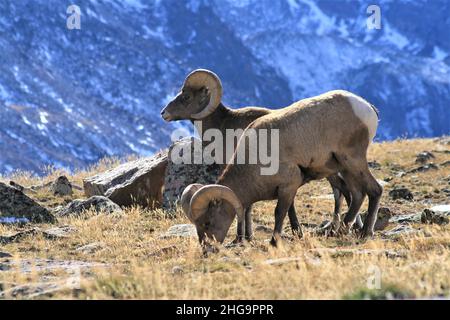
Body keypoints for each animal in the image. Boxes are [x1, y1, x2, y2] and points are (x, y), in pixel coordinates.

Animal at [181, 89, 382, 246]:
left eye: (207, 222)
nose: (207, 249)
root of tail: (366, 107)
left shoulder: (288, 186)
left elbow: (279, 212)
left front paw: (273, 242)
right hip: (345, 168)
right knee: (357, 194)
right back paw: (339, 232)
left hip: (353, 161)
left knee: (374, 190)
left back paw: (364, 233)